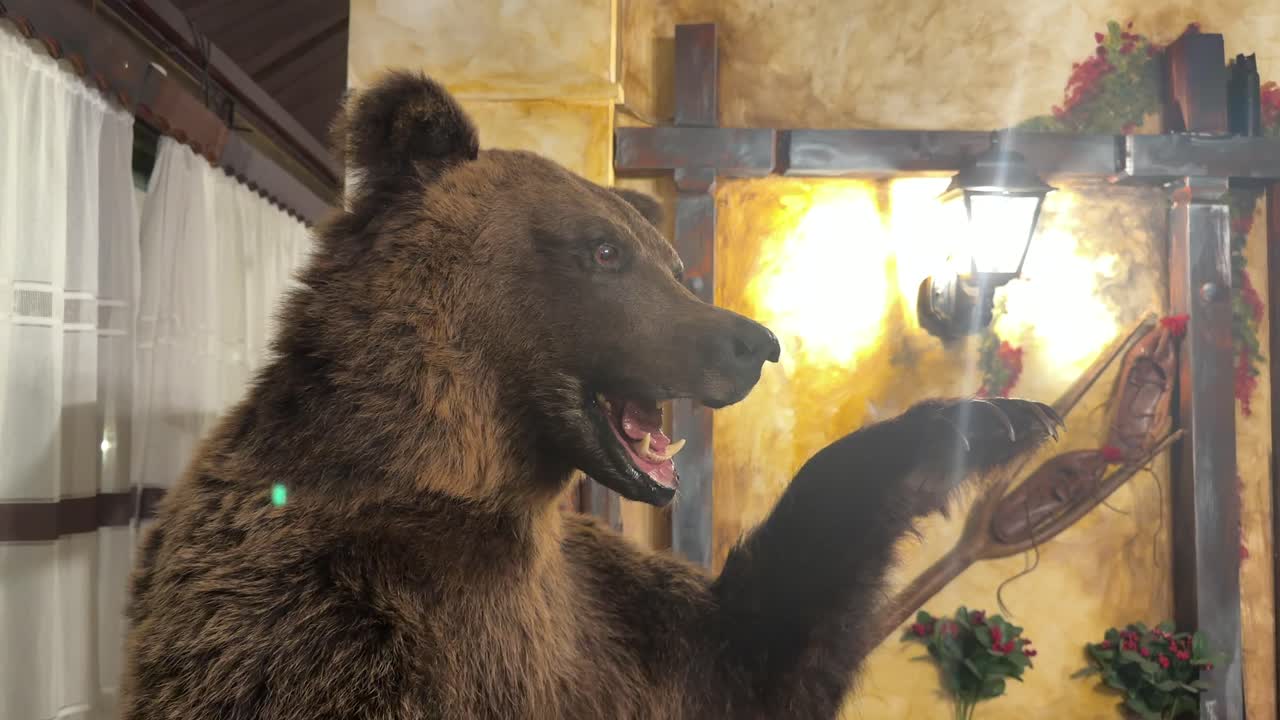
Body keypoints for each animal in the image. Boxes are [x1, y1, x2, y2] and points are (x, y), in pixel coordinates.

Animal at [118, 71, 1062, 720]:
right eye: (604, 252)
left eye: (673, 263)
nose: (752, 342)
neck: (464, 481)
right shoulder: (324, 614)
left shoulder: (602, 618)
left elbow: (762, 643)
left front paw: (994, 422)